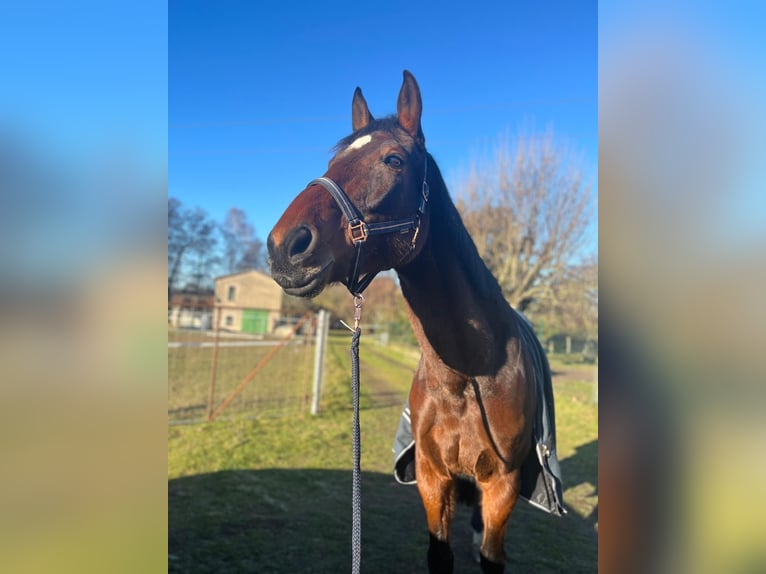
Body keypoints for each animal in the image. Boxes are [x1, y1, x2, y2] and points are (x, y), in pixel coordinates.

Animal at [268, 71, 563, 573]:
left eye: (393, 160)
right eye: (333, 160)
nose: (284, 246)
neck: (468, 375)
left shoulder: (501, 485)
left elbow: (491, 557)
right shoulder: (431, 477)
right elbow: (439, 553)